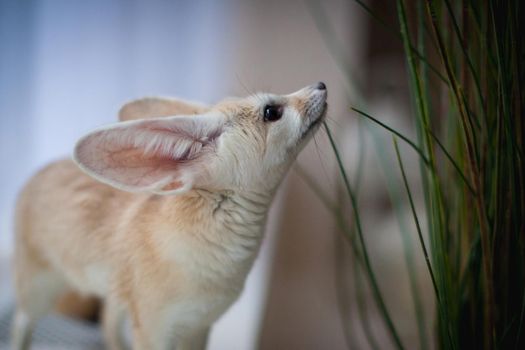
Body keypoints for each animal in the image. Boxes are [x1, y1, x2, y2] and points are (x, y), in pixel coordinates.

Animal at [12, 82, 328, 350]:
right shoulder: (153, 331)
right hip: (39, 293)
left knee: (107, 323)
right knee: (21, 323)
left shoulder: (199, 328)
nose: (321, 85)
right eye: (272, 112)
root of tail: (41, 169)